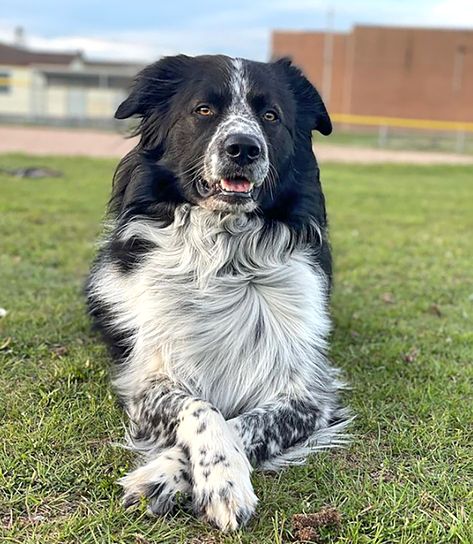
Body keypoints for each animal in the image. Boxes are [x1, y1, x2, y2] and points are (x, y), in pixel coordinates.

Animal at [86, 55, 348, 532]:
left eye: (270, 116)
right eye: (204, 110)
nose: (244, 148)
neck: (226, 258)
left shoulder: (307, 395)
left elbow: (245, 424)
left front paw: (176, 475)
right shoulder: (147, 379)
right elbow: (202, 408)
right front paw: (212, 476)